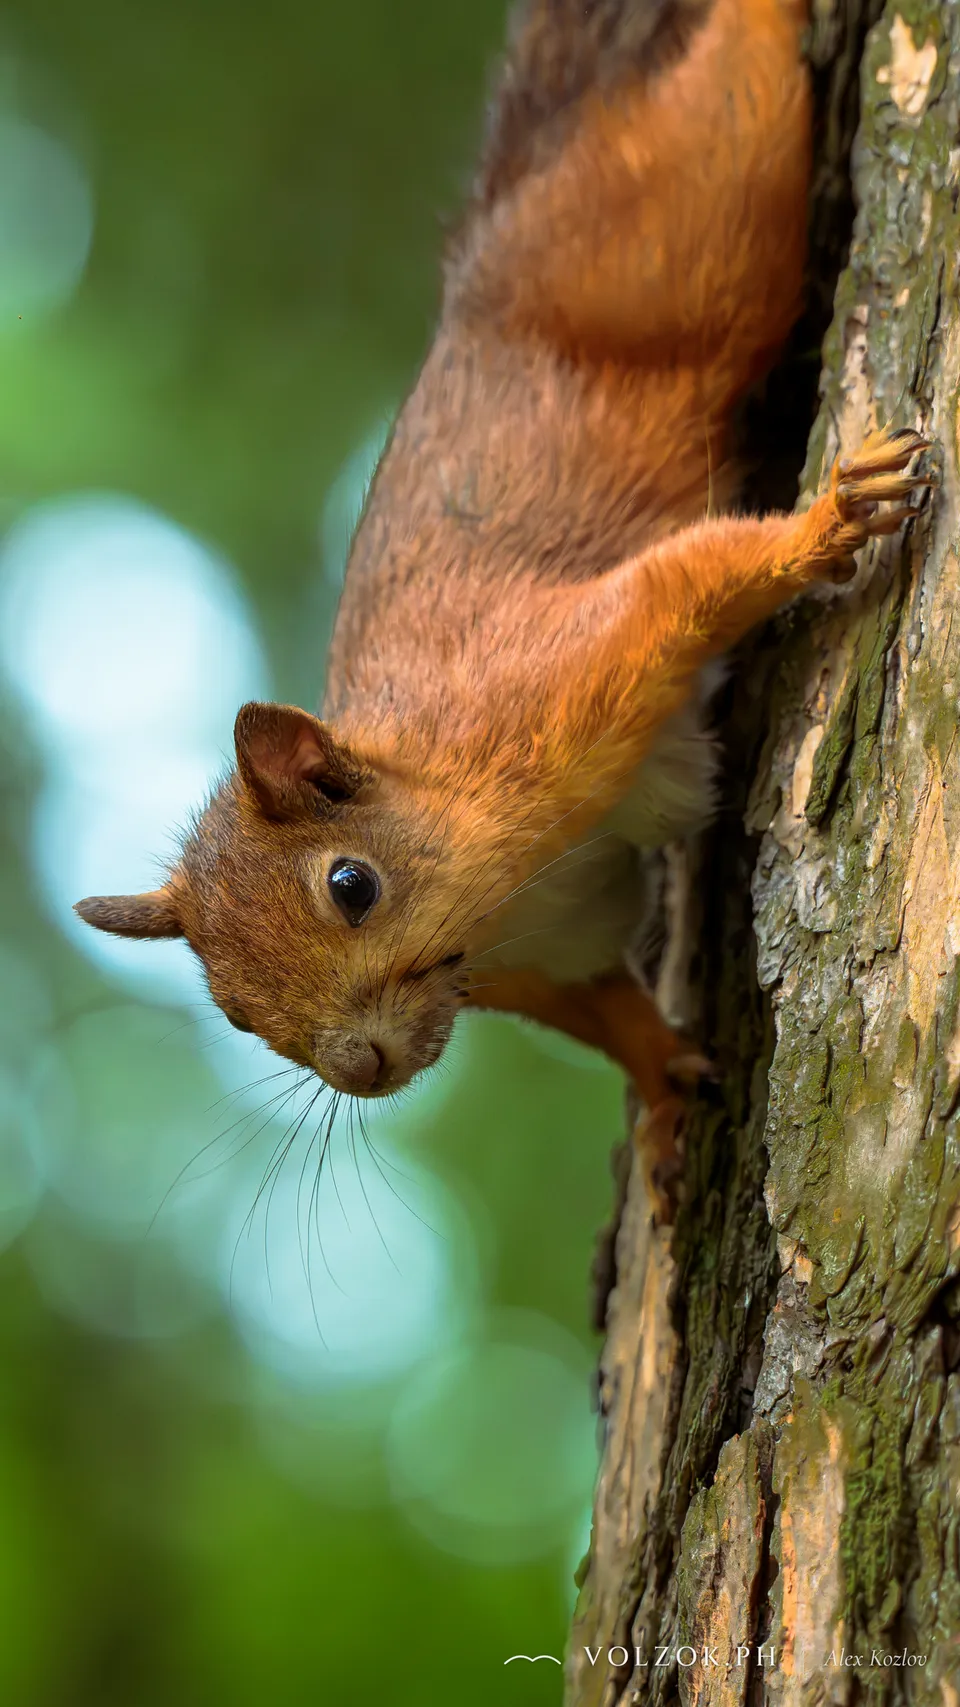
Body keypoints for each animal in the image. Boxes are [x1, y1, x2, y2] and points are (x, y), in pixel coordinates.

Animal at [76, 0, 931, 1218]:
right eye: (232, 1010)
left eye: (351, 886)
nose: (362, 1069)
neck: (498, 898)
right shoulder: (552, 952)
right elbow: (609, 1010)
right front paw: (665, 1091)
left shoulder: (559, 675)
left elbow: (693, 578)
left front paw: (828, 522)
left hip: (680, 225)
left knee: (731, 100)